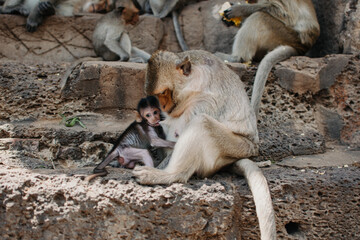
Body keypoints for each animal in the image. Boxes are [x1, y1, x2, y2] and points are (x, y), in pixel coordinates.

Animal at [132, 49, 276, 239]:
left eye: (164, 92)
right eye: (155, 95)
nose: (162, 106)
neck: (193, 84)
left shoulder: (206, 102)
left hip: (235, 147)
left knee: (202, 123)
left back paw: (170, 174)